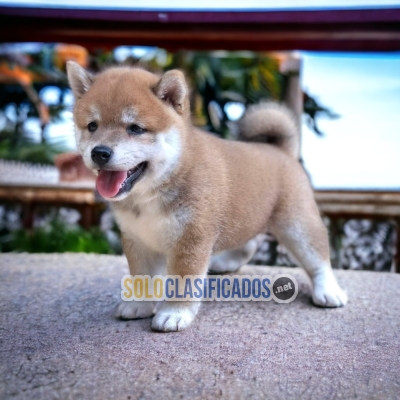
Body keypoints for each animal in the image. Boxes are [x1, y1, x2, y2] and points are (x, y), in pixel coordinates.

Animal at [66, 61, 346, 332]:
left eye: (135, 128)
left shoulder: (191, 238)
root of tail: (280, 151)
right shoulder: (138, 239)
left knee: (318, 258)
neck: (152, 193)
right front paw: (139, 305)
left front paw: (174, 314)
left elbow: (182, 281)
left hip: (297, 225)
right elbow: (141, 277)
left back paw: (328, 291)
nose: (99, 152)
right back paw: (226, 262)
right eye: (92, 126)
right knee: (249, 242)